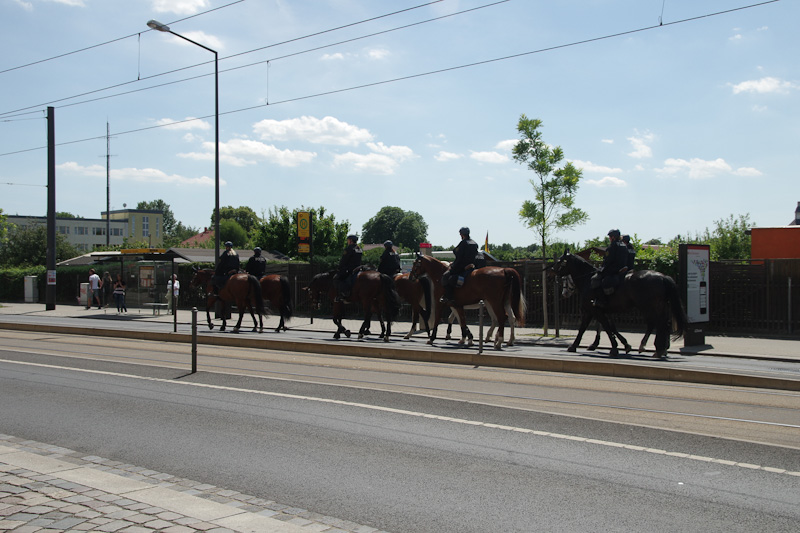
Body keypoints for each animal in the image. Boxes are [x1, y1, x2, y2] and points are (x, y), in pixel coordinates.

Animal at [553, 250, 688, 358]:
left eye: (560, 261)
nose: (553, 271)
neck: (588, 280)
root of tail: (662, 277)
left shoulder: (594, 310)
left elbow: (605, 327)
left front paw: (614, 347)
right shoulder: (597, 311)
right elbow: (599, 327)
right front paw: (623, 344)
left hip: (649, 307)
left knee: (657, 324)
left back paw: (654, 348)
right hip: (658, 306)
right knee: (663, 324)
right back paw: (659, 348)